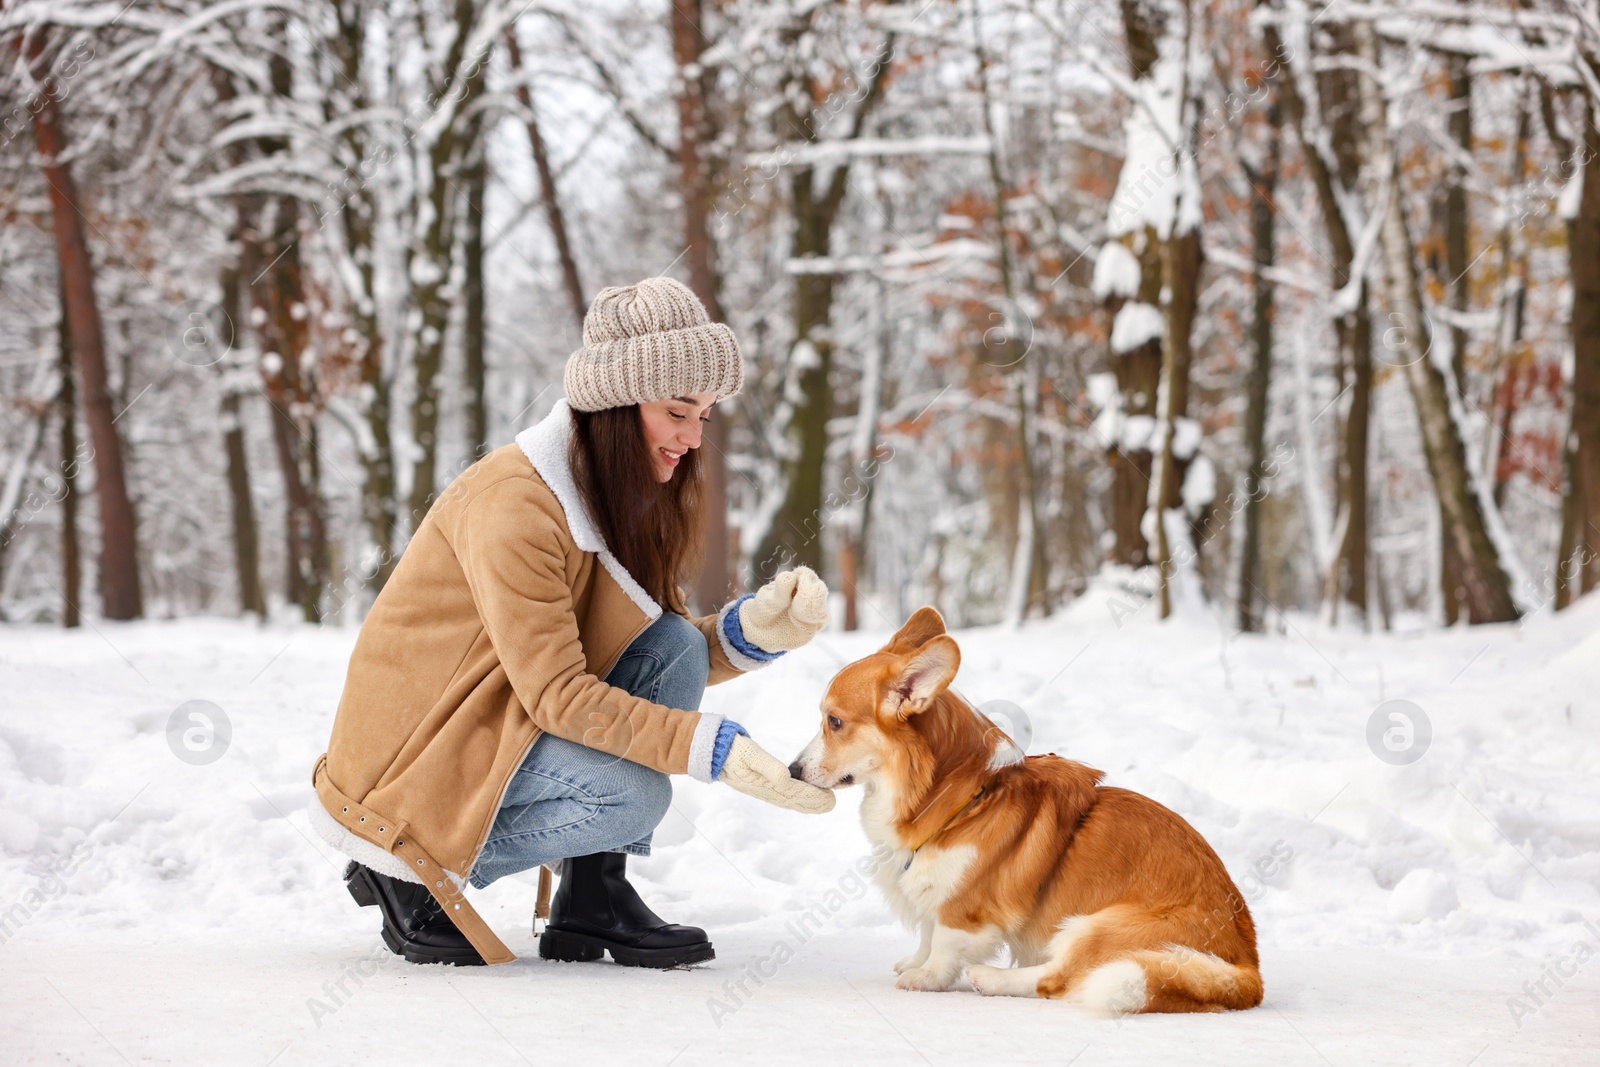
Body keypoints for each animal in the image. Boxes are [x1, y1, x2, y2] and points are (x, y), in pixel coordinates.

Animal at [787, 604, 1260, 1017]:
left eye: (834, 721)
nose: (792, 770)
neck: (963, 799)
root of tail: (1248, 967)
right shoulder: (932, 890)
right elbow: (927, 930)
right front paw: (914, 961)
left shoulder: (964, 910)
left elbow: (944, 944)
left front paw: (925, 976)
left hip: (1095, 925)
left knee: (1059, 980)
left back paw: (989, 978)